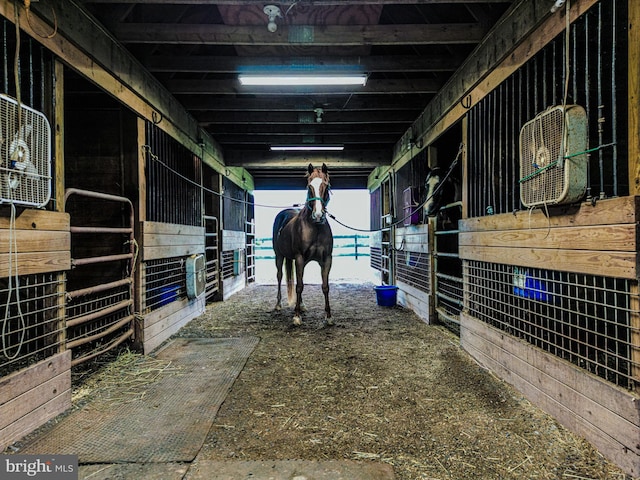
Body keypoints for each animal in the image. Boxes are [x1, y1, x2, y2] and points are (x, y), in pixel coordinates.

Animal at [272, 162, 332, 326]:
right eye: (309, 186)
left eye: (326, 185)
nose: (318, 215)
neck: (315, 228)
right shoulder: (299, 258)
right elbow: (299, 286)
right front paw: (296, 316)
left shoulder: (326, 260)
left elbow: (325, 286)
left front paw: (328, 316)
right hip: (279, 256)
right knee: (280, 276)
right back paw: (278, 305)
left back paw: (303, 305)